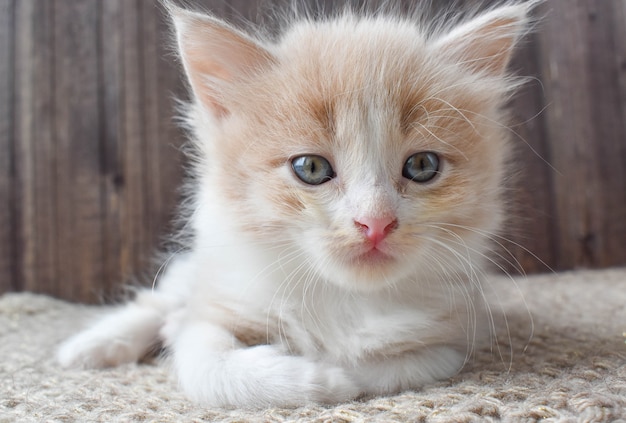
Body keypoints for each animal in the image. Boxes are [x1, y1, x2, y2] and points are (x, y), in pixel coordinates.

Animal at [57, 0, 536, 410]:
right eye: (310, 167)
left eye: (422, 165)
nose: (376, 223)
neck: (343, 299)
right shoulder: (217, 308)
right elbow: (207, 362)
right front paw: (317, 380)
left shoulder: (454, 337)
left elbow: (390, 366)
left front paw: (340, 371)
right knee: (160, 301)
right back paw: (89, 347)